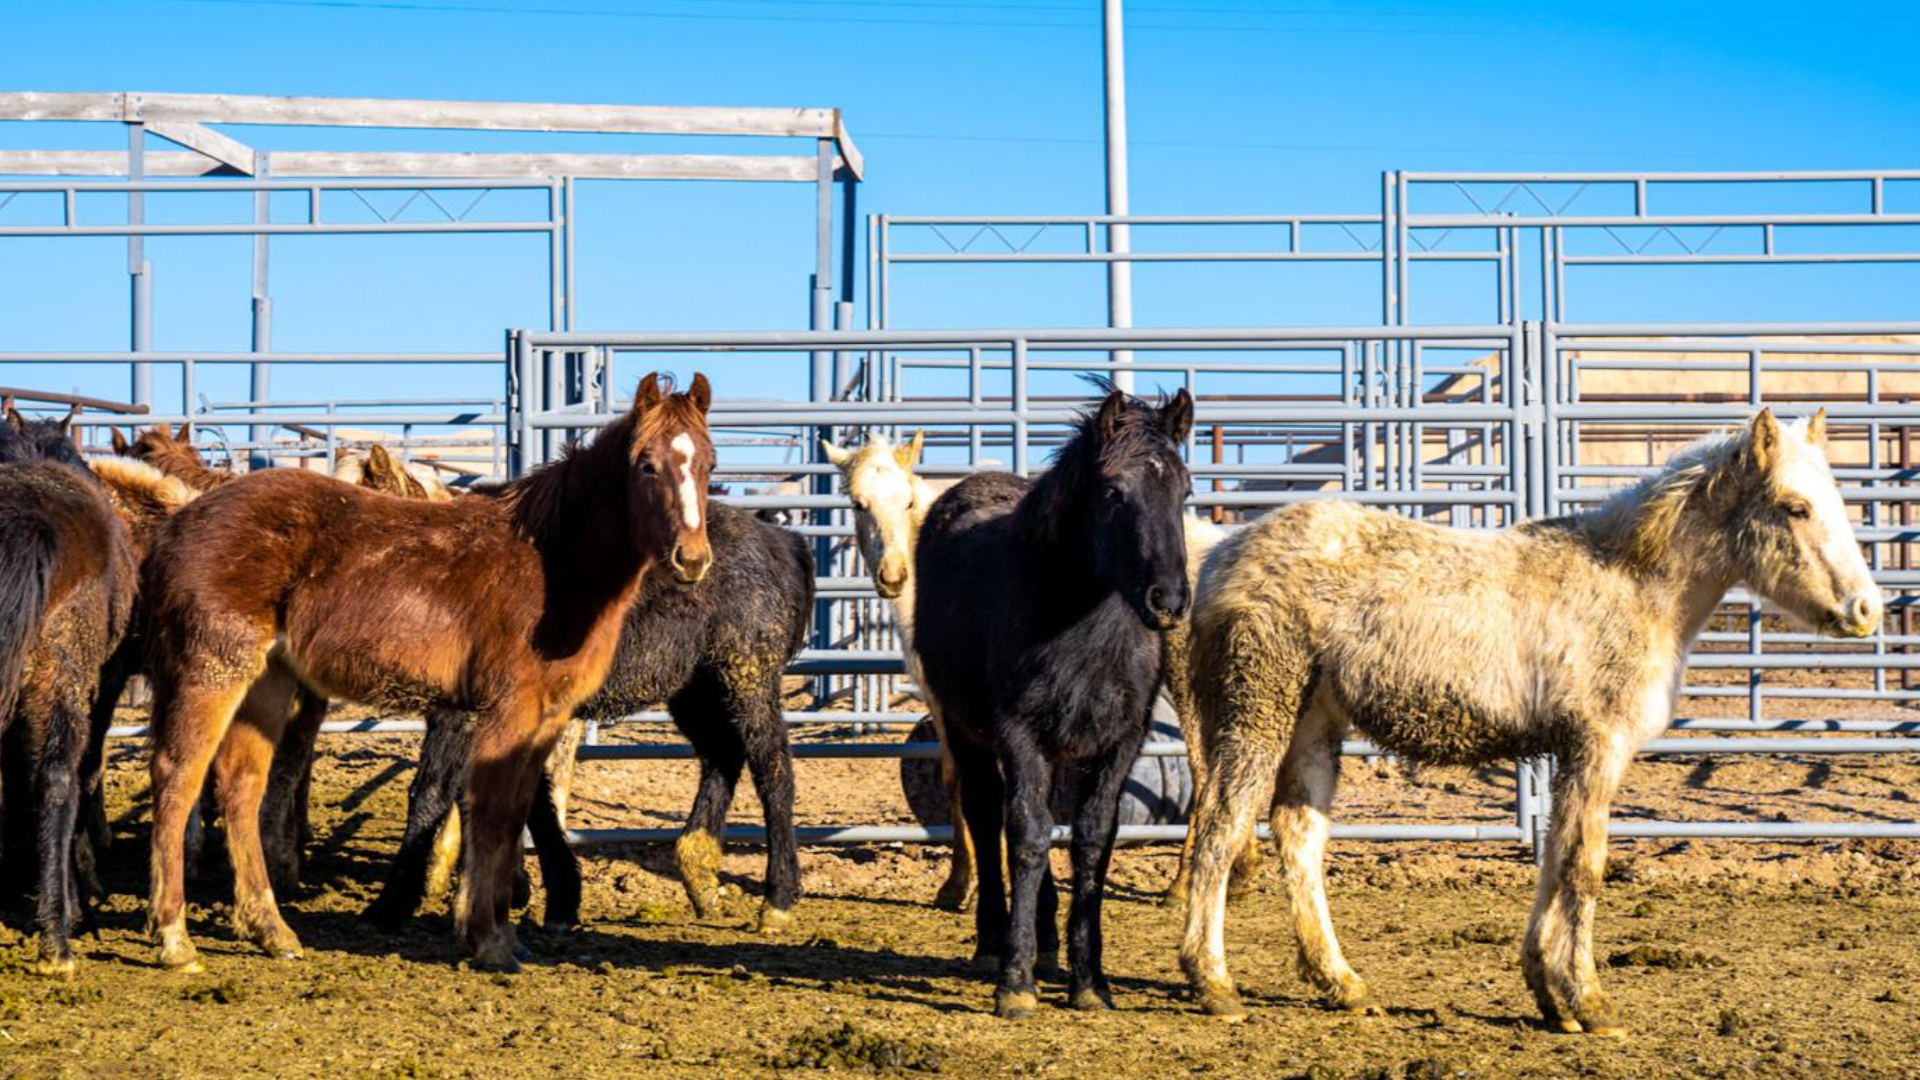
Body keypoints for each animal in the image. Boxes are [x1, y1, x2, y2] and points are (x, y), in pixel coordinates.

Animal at [140, 373, 713, 973]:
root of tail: (179, 521)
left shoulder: (544, 718)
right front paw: (488, 938)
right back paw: (175, 938)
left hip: (269, 681)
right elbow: (493, 814)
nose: (692, 559)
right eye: (646, 465)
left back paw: (270, 930)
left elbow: (514, 815)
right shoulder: (506, 712)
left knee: (241, 783)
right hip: (213, 668)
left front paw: (503, 932)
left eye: (709, 463)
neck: (552, 566)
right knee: (178, 776)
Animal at [362, 497, 814, 934]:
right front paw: (555, 896)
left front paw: (392, 904)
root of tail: (781, 539)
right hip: (694, 688)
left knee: (773, 772)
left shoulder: (461, 713)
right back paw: (699, 870)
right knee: (722, 756)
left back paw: (777, 900)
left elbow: (432, 792)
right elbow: (529, 799)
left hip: (748, 677)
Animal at [912, 385, 1195, 1018]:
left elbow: (1091, 840)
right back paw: (995, 946)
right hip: (968, 731)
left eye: (1185, 490)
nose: (1167, 601)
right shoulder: (1017, 732)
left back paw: (1046, 950)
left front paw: (1089, 980)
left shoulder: (1120, 740)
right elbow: (1025, 835)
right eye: (1113, 493)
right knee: (990, 816)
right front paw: (1015, 985)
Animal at [1177, 409, 1882, 1033]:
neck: (1631, 580)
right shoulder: (1598, 743)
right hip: (1257, 710)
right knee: (1220, 827)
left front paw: (1550, 992)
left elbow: (1555, 856)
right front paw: (1588, 1001)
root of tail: (1221, 556)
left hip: (1313, 722)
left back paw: (1341, 983)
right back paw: (1214, 983)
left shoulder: (1572, 752)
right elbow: (1582, 863)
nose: (1866, 610)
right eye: (1795, 507)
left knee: (1298, 835)